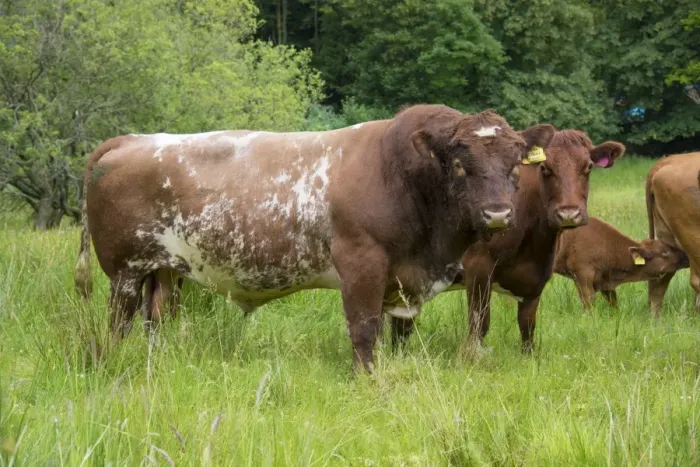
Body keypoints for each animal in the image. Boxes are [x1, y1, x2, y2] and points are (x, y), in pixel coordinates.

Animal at [73, 104, 556, 373]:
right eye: (459, 164)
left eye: (516, 163)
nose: (498, 214)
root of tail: (129, 140)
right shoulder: (361, 263)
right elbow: (363, 330)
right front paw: (366, 380)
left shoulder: (403, 281)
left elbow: (395, 333)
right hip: (125, 272)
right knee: (118, 322)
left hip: (161, 271)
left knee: (153, 321)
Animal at [390, 129, 626, 353]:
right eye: (544, 168)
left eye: (588, 166)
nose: (568, 213)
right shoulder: (478, 267)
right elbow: (480, 323)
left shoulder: (538, 274)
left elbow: (527, 325)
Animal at [553, 217, 688, 311]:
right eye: (665, 251)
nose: (686, 256)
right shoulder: (582, 274)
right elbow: (588, 301)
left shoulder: (606, 282)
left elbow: (613, 303)